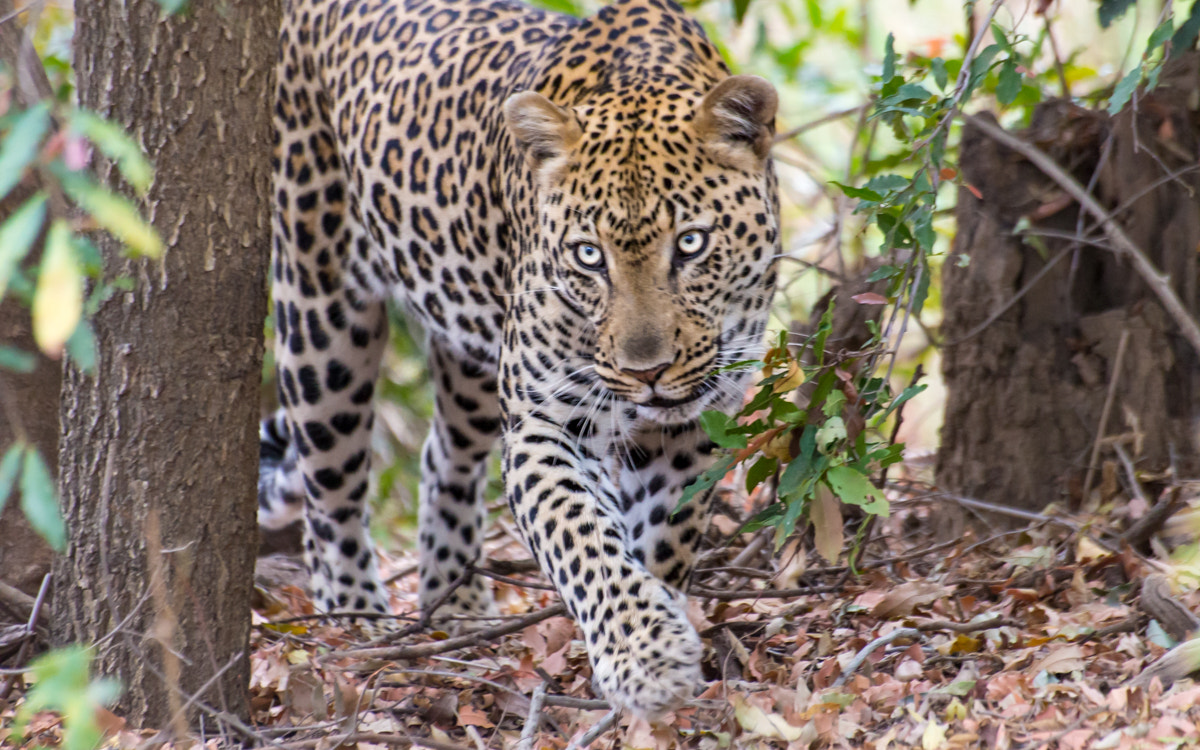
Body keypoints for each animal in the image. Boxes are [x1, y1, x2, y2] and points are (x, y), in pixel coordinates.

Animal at [258, 0, 780, 718]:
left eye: (692, 244)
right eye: (589, 256)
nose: (646, 371)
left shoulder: (687, 428)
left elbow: (659, 541)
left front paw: (657, 625)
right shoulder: (544, 422)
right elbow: (583, 538)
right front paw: (646, 657)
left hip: (471, 353)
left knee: (443, 458)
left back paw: (458, 609)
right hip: (321, 312)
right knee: (328, 490)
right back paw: (357, 627)